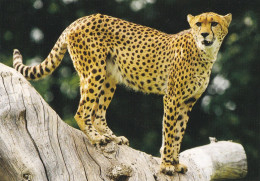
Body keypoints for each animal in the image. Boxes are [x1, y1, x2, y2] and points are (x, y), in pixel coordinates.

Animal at [12, 11, 232, 175]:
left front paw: (175, 163)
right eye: (198, 24)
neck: (205, 54)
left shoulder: (187, 102)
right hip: (94, 71)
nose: (204, 35)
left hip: (109, 77)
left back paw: (113, 138)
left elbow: (178, 133)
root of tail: (81, 19)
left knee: (97, 113)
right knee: (82, 111)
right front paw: (167, 165)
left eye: (214, 23)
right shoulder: (172, 98)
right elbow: (169, 133)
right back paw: (96, 138)